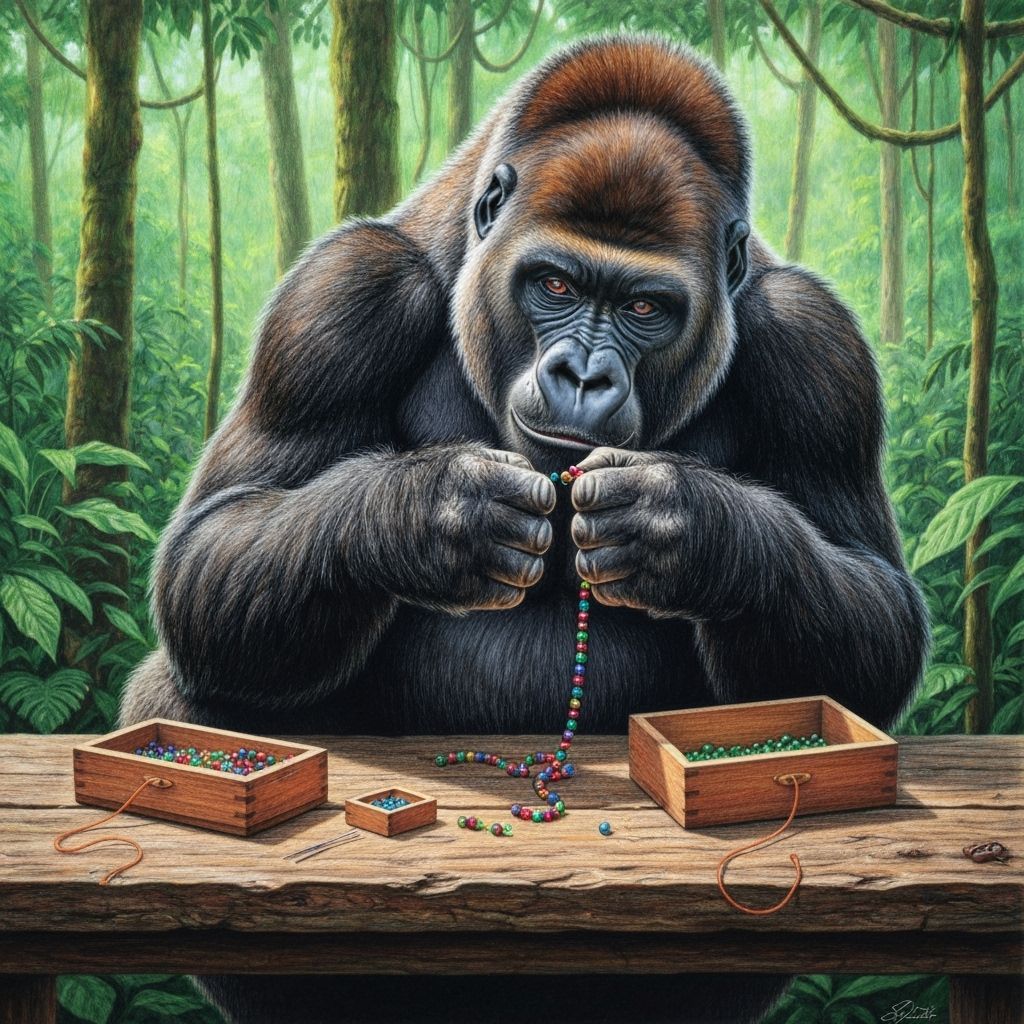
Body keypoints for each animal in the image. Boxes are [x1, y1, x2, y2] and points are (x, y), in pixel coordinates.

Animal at [120, 35, 928, 1024]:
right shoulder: (340, 293)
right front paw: (431, 519)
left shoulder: (819, 347)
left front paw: (693, 531)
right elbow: (209, 553)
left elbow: (874, 623)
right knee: (192, 689)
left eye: (646, 307)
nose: (582, 374)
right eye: (554, 283)